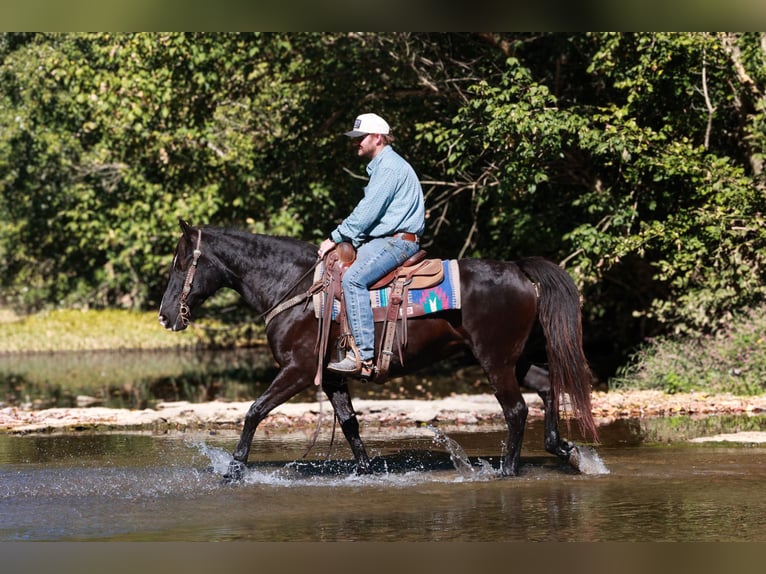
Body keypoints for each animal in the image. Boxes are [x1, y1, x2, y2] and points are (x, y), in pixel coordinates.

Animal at [158, 219, 600, 481]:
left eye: (180, 264)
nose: (165, 316)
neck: (297, 288)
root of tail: (518, 270)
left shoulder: (298, 370)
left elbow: (254, 411)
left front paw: (234, 470)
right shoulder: (332, 377)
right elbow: (351, 425)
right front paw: (367, 471)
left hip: (496, 361)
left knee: (516, 410)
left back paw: (507, 470)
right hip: (516, 359)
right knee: (548, 387)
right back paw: (565, 450)